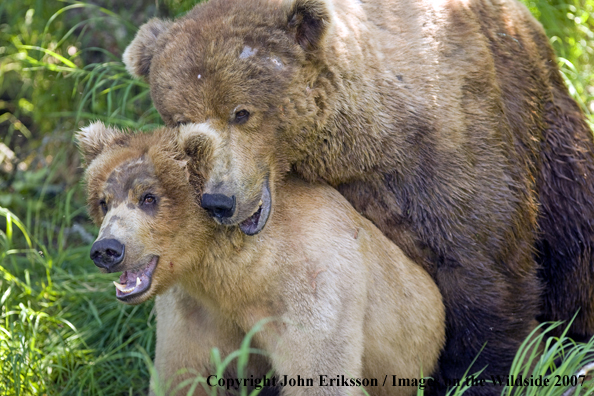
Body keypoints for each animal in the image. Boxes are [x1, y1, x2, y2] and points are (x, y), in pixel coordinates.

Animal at [75, 120, 444, 396]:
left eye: (148, 197)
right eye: (103, 201)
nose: (106, 249)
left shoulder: (314, 290)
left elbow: (320, 372)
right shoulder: (194, 313)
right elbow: (181, 374)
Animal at [120, 0, 592, 392]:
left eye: (241, 111)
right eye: (181, 120)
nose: (219, 201)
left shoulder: (452, 148)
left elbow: (484, 269)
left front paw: (480, 375)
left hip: (552, 141)